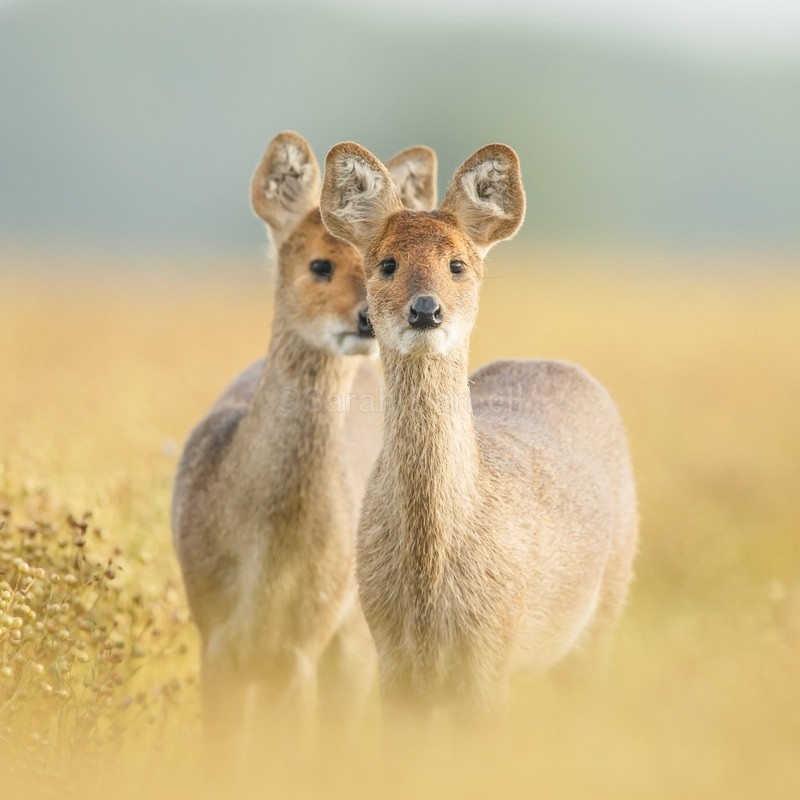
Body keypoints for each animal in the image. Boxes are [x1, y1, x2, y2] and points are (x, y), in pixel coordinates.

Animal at [170, 131, 437, 752]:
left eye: (377, 263)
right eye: (319, 264)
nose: (368, 320)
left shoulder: (302, 651)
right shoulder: (213, 637)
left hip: (358, 642)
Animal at [319, 141, 638, 728]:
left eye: (457, 264)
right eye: (386, 263)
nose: (426, 309)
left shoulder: (491, 651)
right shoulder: (391, 654)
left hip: (606, 605)